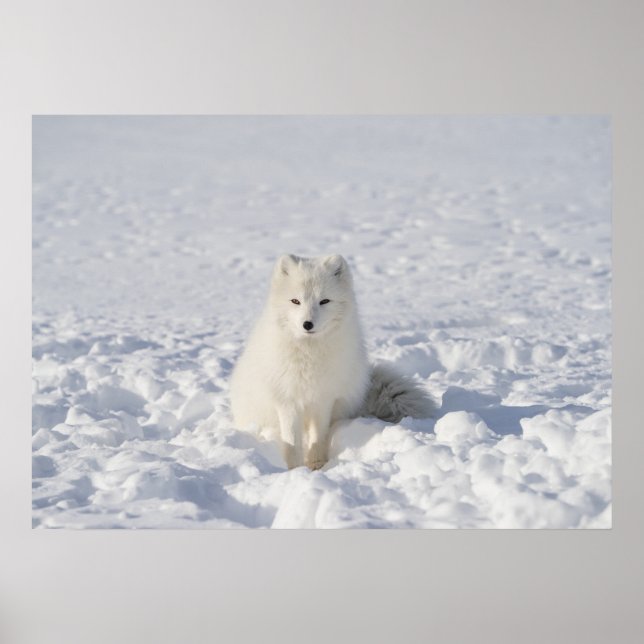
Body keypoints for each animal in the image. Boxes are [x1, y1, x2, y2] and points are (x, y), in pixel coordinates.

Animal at [229, 254, 436, 470]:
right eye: (295, 301)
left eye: (324, 301)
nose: (307, 324)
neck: (309, 354)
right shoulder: (287, 400)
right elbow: (292, 441)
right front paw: (295, 469)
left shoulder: (324, 398)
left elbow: (318, 436)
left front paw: (316, 465)